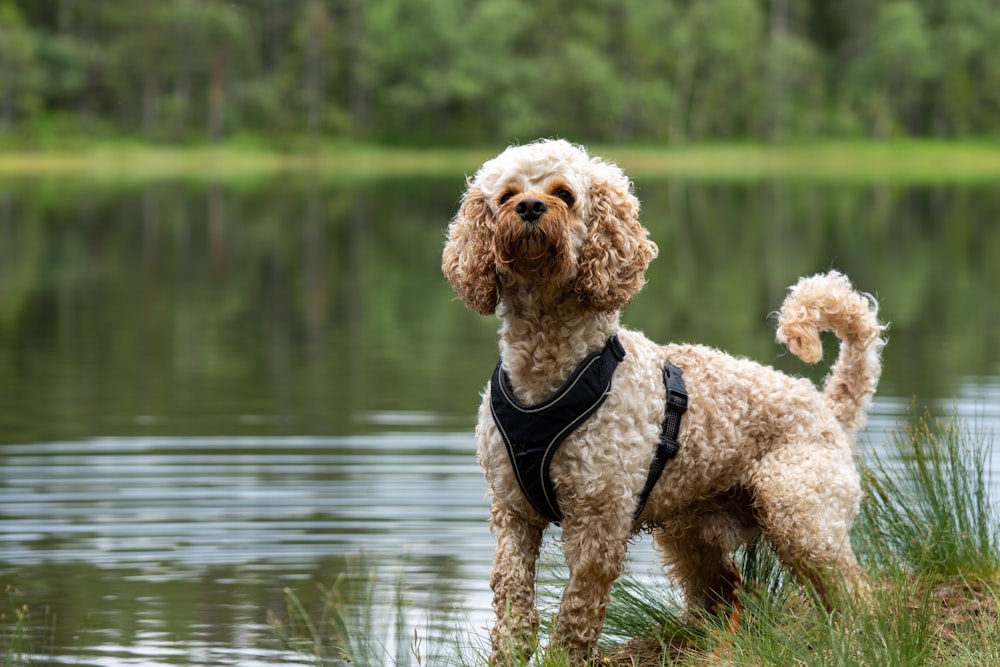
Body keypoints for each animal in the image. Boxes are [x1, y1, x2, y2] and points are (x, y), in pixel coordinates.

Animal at [438, 140, 884, 664]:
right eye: (506, 194)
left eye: (564, 194)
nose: (528, 207)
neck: (549, 369)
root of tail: (827, 404)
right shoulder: (513, 512)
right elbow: (511, 600)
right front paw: (508, 653)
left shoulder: (598, 519)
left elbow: (575, 613)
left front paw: (565, 654)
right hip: (693, 535)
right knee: (727, 596)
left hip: (801, 514)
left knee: (854, 591)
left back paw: (859, 638)